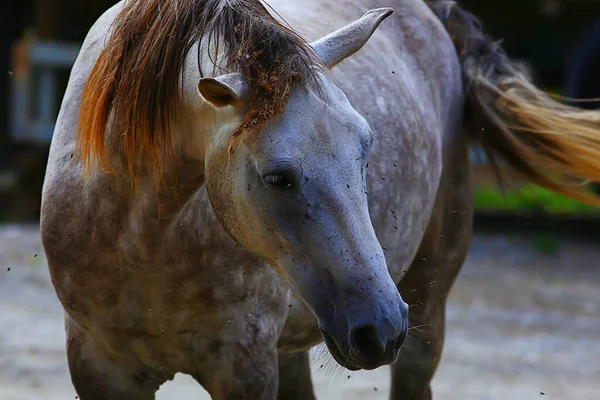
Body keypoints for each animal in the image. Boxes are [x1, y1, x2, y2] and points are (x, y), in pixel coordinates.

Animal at [39, 0, 600, 398]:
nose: (382, 327)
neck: (139, 234)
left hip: (427, 306)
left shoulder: (243, 368)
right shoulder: (98, 367)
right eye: (277, 178)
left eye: (366, 149)